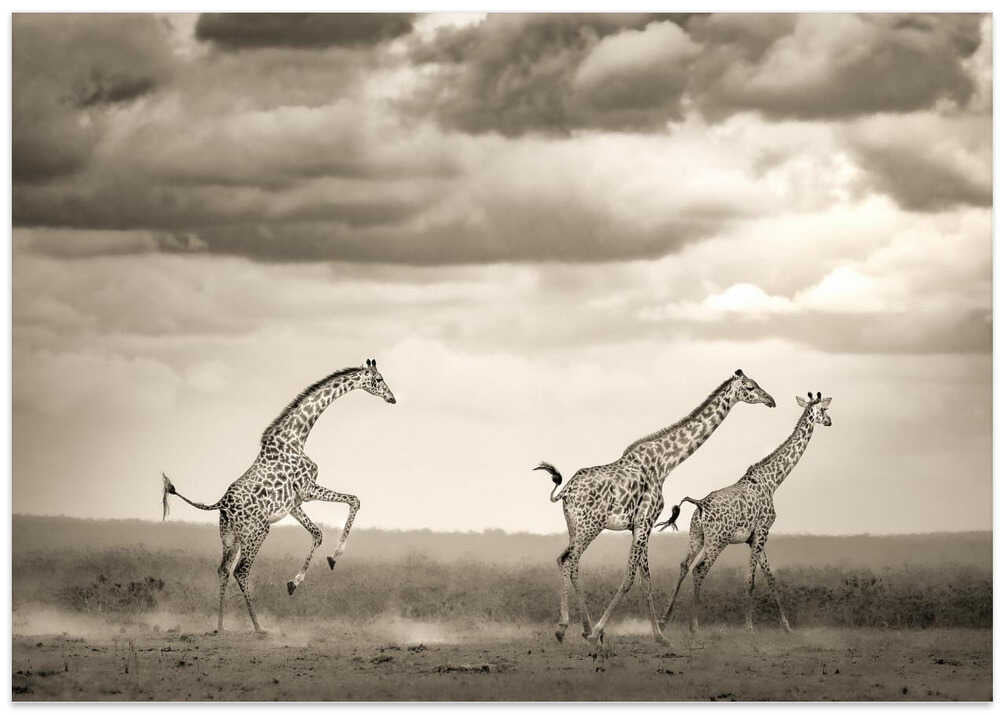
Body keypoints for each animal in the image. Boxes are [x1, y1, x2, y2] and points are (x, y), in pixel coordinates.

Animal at [161, 358, 396, 635]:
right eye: (379, 379)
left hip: (230, 536)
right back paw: (258, 627)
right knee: (241, 571)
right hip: (258, 531)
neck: (296, 437)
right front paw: (333, 557)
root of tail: (221, 504)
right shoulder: (307, 489)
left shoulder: (294, 504)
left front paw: (297, 581)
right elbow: (354, 500)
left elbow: (317, 533)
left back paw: (220, 627)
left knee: (223, 570)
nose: (392, 398)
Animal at [534, 369, 776, 648]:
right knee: (568, 560)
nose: (771, 400)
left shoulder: (639, 526)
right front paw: (600, 631)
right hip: (589, 525)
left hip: (574, 525)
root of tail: (566, 491)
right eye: (750, 387)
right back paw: (571, 629)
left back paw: (576, 628)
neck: (664, 464)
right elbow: (630, 577)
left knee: (568, 561)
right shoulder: (645, 522)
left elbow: (645, 579)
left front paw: (659, 636)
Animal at [656, 391, 833, 634]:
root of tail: (700, 505)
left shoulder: (754, 537)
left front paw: (787, 626)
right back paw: (694, 626)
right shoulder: (762, 531)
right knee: (699, 570)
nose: (830, 421)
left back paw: (664, 621)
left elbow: (770, 577)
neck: (772, 481)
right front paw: (749, 627)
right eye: (823, 410)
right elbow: (751, 580)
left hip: (696, 537)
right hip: (717, 541)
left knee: (684, 566)